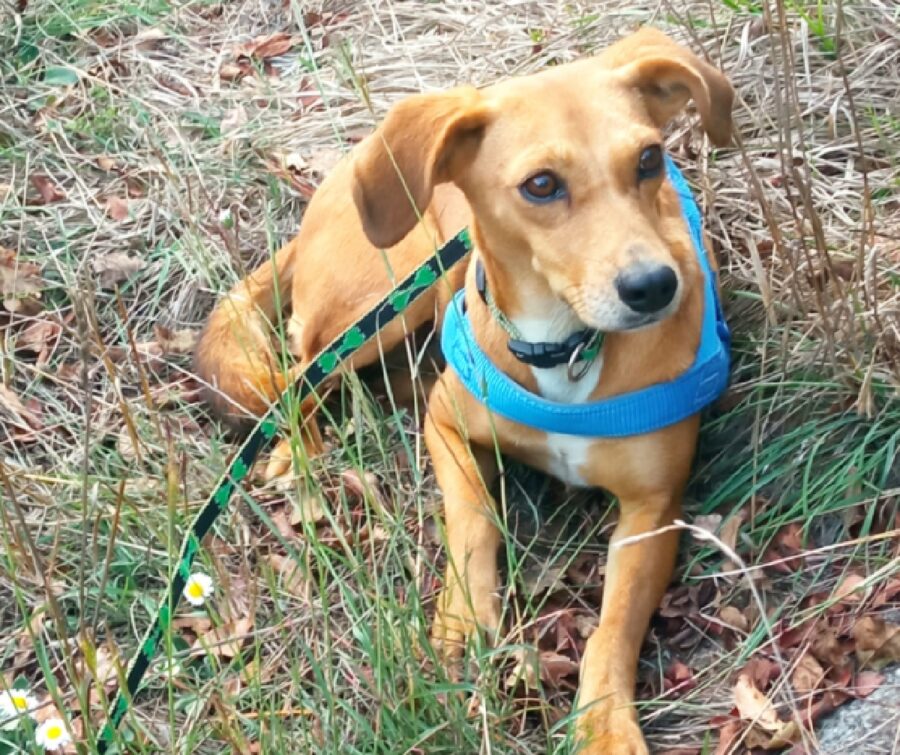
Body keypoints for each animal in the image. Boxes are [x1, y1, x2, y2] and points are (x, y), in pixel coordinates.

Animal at [195, 26, 732, 752]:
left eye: (649, 159)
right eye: (541, 184)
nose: (654, 287)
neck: (563, 345)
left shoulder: (654, 507)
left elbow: (614, 627)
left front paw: (604, 724)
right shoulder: (445, 425)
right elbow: (474, 520)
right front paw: (465, 621)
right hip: (385, 300)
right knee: (301, 369)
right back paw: (300, 455)